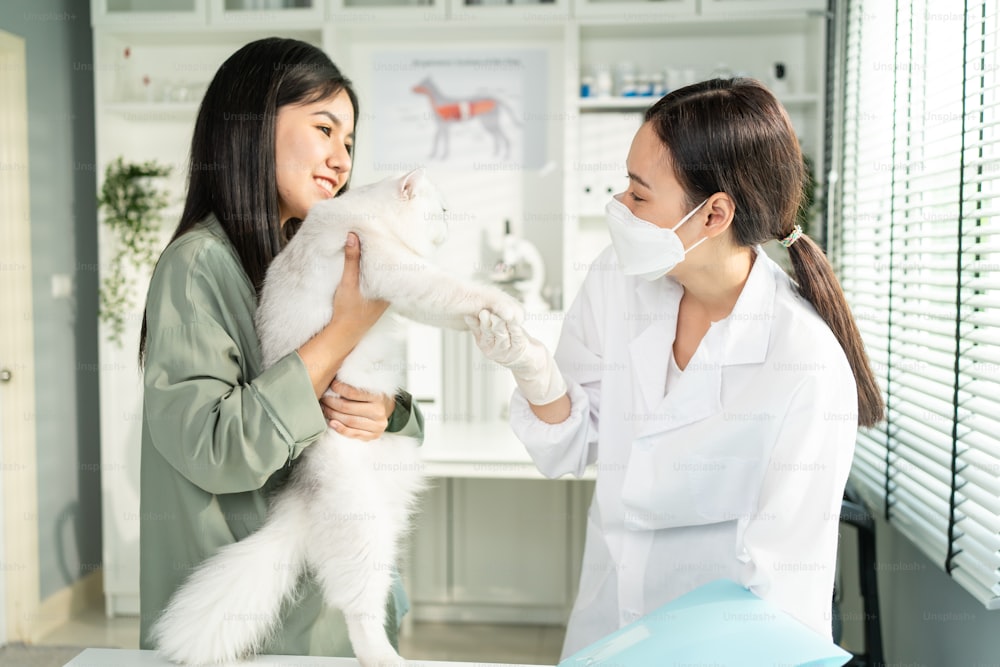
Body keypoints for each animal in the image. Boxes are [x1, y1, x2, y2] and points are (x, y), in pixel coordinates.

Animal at [151, 170, 524, 664]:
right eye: (441, 210)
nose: (448, 227)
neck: (368, 217)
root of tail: (302, 493)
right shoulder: (401, 273)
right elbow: (461, 292)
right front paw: (508, 308)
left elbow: (459, 309)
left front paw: (491, 329)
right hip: (363, 533)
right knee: (358, 611)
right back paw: (385, 657)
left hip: (387, 524)